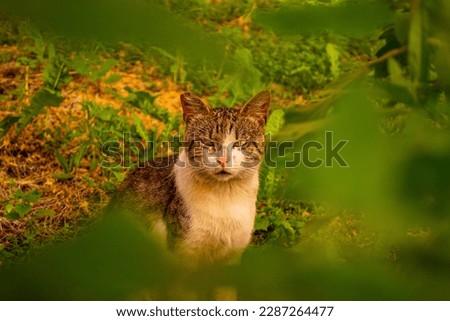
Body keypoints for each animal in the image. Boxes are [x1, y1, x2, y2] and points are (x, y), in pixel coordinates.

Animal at [115, 90, 270, 264]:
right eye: (208, 142)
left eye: (240, 143)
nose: (223, 159)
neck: (225, 194)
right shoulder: (185, 248)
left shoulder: (234, 251)